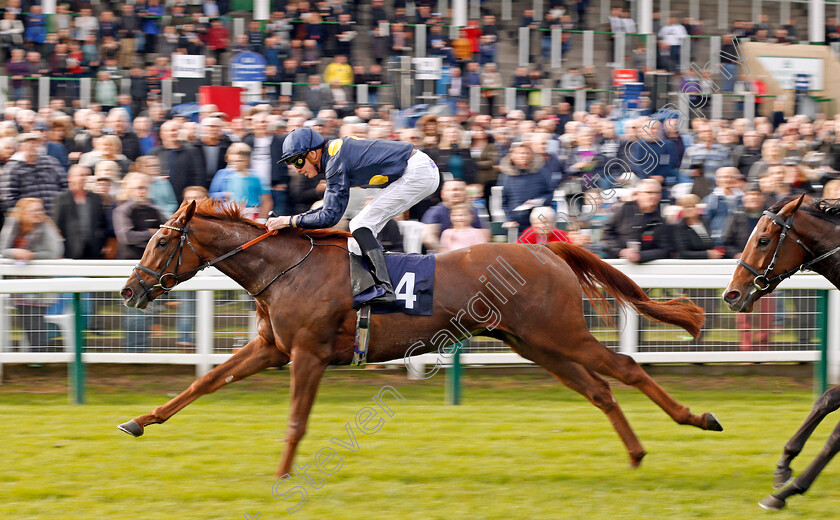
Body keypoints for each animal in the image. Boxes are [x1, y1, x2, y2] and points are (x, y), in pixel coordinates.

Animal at [116, 199, 720, 480]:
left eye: (162, 242)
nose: (129, 290)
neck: (286, 266)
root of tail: (547, 248)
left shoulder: (307, 354)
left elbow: (296, 420)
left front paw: (284, 473)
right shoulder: (273, 349)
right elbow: (205, 383)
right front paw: (140, 421)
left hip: (561, 334)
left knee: (628, 368)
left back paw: (698, 418)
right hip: (538, 343)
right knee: (600, 389)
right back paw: (637, 452)